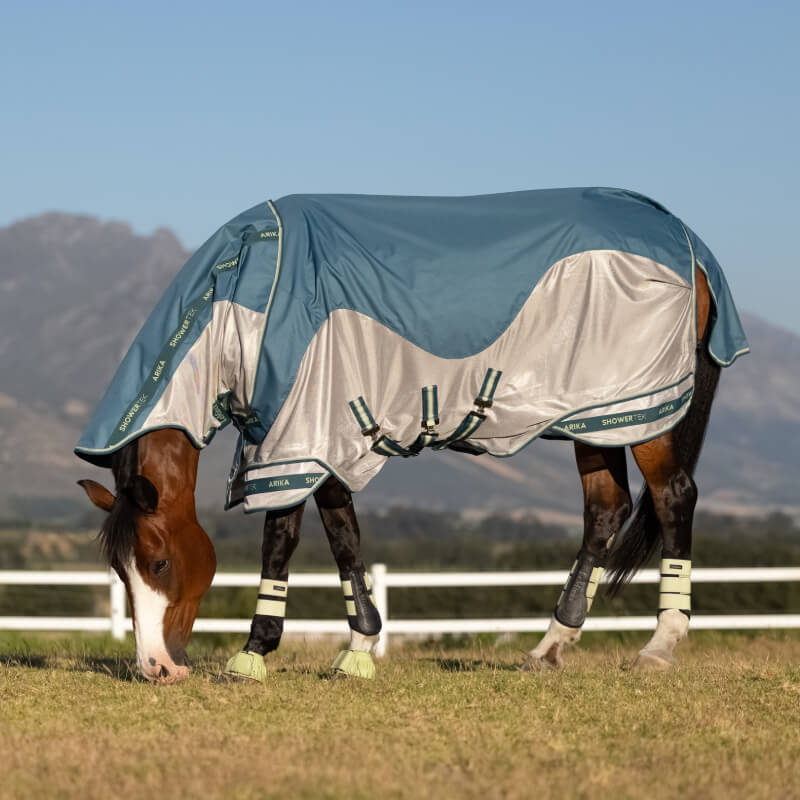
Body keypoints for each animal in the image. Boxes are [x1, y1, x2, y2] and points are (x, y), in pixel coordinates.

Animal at [76, 188, 748, 683]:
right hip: (597, 416)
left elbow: (282, 539)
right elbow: (343, 538)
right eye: (118, 574)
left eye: (159, 561)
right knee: (606, 510)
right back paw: (551, 646)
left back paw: (660, 645)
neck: (242, 299)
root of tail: (684, 238)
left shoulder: (297, 435)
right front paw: (356, 649)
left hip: (644, 413)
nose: (156, 669)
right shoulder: (322, 438)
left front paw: (255, 652)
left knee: (673, 497)